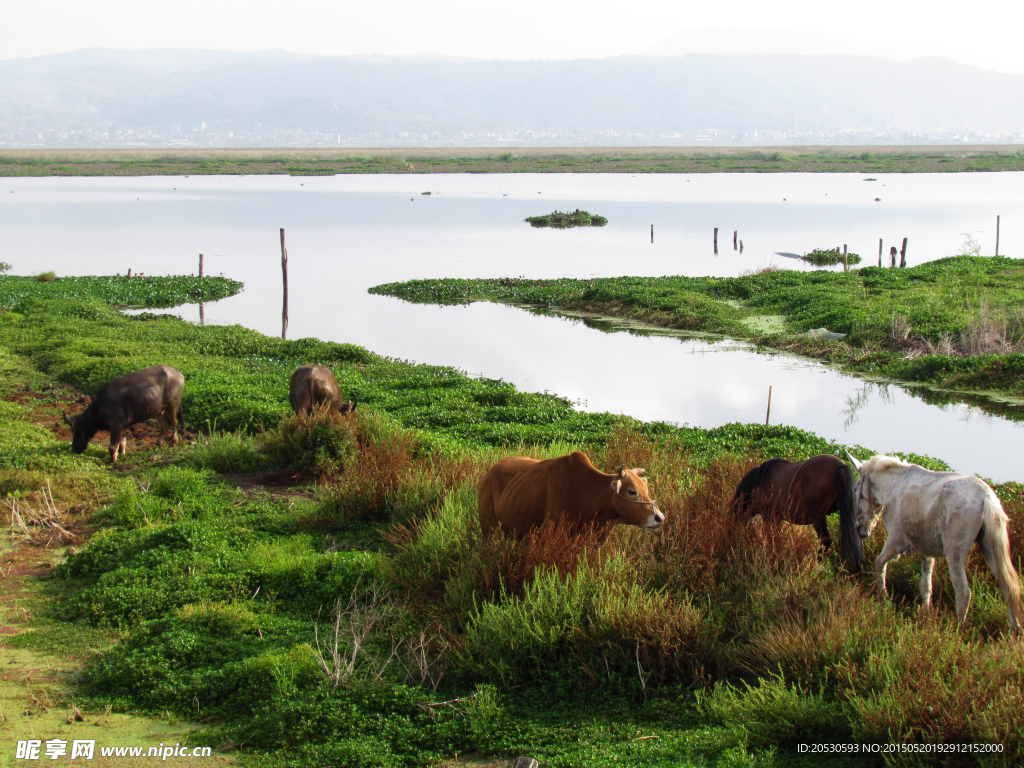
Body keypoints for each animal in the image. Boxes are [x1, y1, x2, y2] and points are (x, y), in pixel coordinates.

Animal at [729, 454, 864, 573]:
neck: (758, 481)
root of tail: (840, 465)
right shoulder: (776, 518)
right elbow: (776, 539)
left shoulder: (768, 516)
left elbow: (770, 538)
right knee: (854, 540)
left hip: (818, 517)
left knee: (825, 540)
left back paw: (816, 566)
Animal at [847, 450, 1015, 630]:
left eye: (856, 488)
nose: (860, 529)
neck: (895, 487)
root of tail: (987, 498)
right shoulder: (926, 552)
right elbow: (926, 586)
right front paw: (926, 615)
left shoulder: (896, 542)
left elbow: (879, 563)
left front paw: (882, 598)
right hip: (990, 550)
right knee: (1008, 587)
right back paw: (1014, 630)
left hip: (955, 553)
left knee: (963, 591)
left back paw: (959, 628)